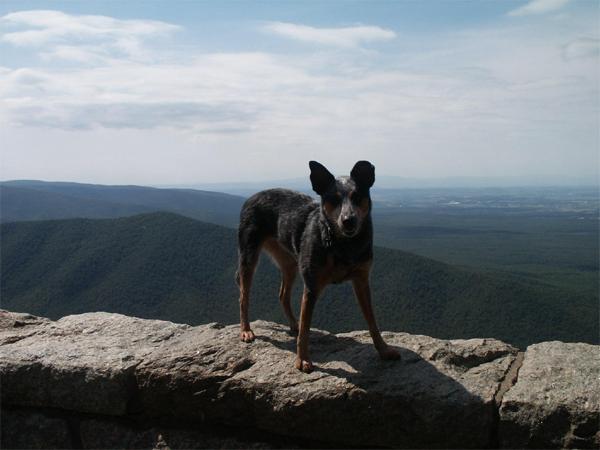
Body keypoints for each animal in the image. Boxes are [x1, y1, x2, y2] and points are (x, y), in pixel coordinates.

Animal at [237, 162, 400, 372]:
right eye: (333, 199)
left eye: (357, 197)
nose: (348, 220)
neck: (343, 245)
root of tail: (251, 197)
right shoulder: (312, 287)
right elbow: (306, 329)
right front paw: (302, 359)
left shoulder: (362, 282)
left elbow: (372, 322)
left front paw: (384, 350)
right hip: (249, 257)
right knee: (243, 297)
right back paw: (246, 330)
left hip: (290, 264)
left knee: (283, 294)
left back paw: (293, 324)